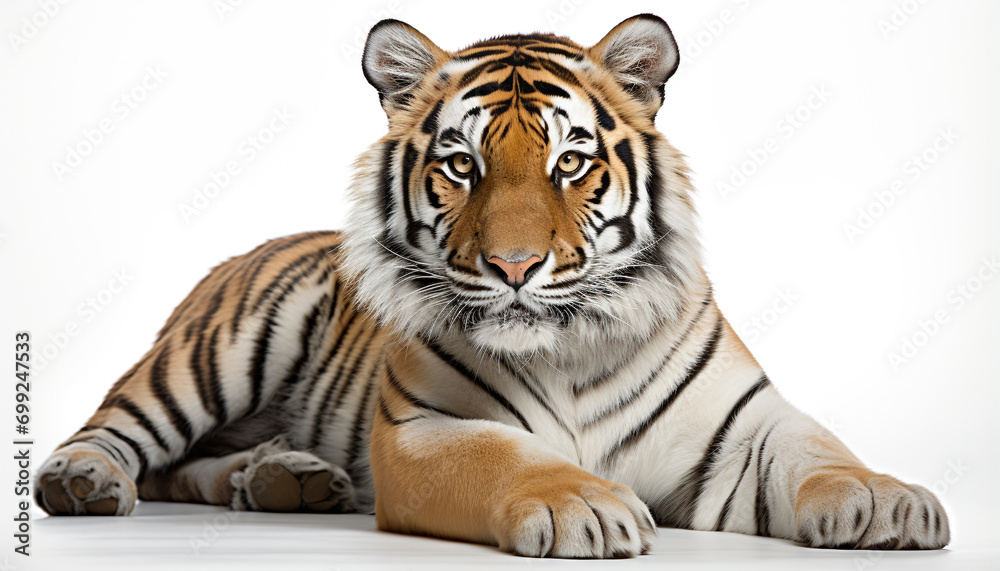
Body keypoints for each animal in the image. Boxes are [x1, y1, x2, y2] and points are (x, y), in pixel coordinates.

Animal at [35, 14, 949, 557]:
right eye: (461, 166)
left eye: (570, 162)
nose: (514, 267)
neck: (573, 347)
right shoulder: (422, 430)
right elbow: (505, 457)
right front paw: (586, 505)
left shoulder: (742, 429)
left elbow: (819, 450)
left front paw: (888, 501)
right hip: (215, 355)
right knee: (117, 433)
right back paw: (84, 483)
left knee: (187, 465)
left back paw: (285, 479)